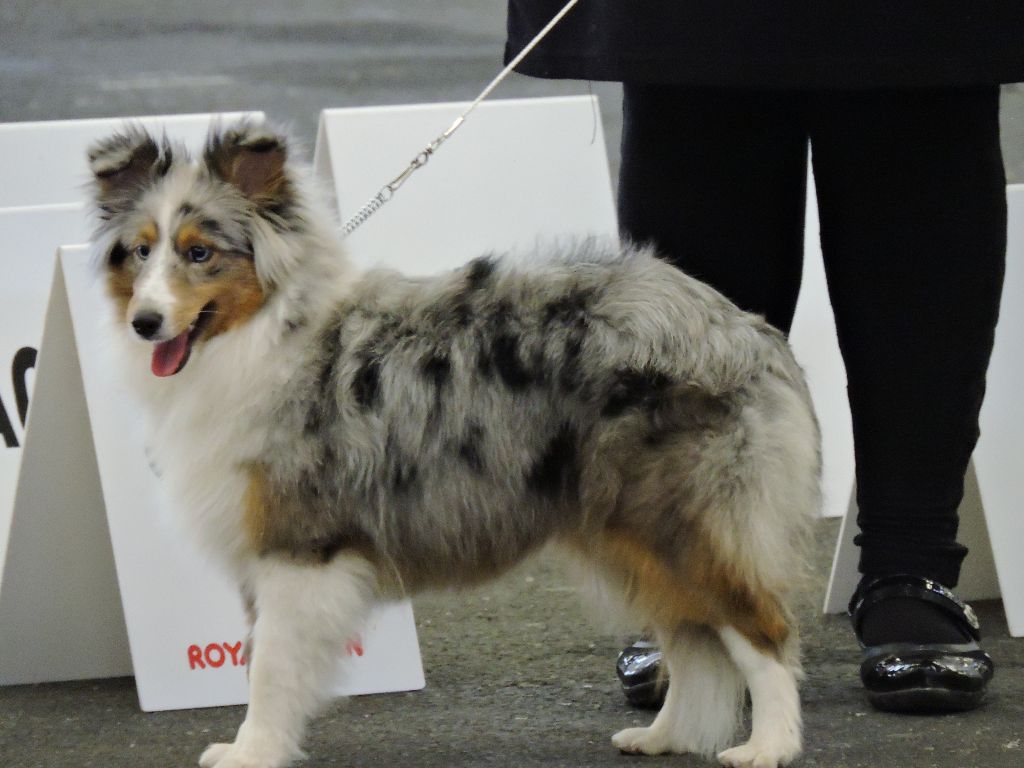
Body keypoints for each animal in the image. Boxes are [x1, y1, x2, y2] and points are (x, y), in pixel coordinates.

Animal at [90, 121, 823, 768]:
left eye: (200, 253)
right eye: (141, 251)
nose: (145, 322)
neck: (265, 336)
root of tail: (744, 329)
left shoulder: (300, 548)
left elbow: (269, 669)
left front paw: (255, 753)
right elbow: (256, 661)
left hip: (690, 523)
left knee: (764, 636)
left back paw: (770, 747)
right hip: (631, 532)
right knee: (691, 640)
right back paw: (663, 737)